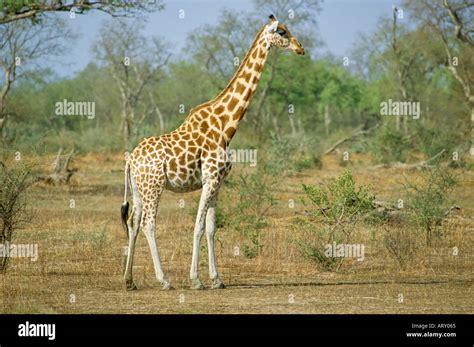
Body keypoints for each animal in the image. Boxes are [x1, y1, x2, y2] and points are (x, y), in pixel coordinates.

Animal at [121, 14, 304, 290]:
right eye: (282, 32)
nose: (300, 48)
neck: (226, 125)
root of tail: (131, 160)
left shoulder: (218, 182)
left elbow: (211, 228)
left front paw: (217, 279)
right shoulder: (210, 178)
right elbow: (197, 227)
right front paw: (196, 280)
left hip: (138, 188)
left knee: (132, 222)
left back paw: (129, 280)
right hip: (154, 187)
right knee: (148, 224)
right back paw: (165, 280)